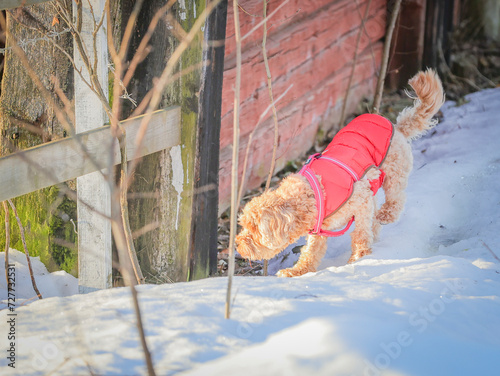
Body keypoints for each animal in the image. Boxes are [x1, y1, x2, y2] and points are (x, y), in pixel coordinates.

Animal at [235, 70, 446, 276]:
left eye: (254, 230)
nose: (237, 245)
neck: (310, 195)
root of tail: (398, 127)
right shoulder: (321, 230)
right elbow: (311, 252)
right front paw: (298, 271)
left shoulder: (361, 203)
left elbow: (360, 233)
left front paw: (359, 257)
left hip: (394, 172)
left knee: (396, 198)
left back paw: (387, 215)